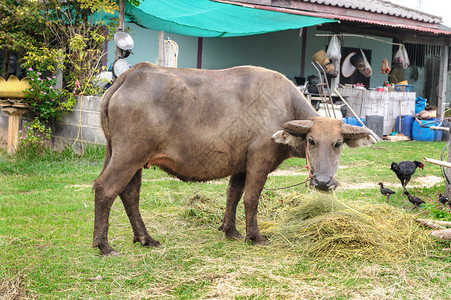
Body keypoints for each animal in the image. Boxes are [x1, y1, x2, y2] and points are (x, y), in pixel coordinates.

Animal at [92, 62, 374, 254]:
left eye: (338, 144)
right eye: (312, 141)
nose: (324, 182)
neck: (283, 107)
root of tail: (130, 75)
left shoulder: (241, 166)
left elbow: (233, 195)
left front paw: (231, 230)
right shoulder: (259, 163)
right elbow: (251, 198)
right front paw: (254, 236)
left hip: (125, 157)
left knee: (129, 194)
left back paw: (145, 238)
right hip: (129, 155)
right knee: (105, 189)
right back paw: (104, 245)